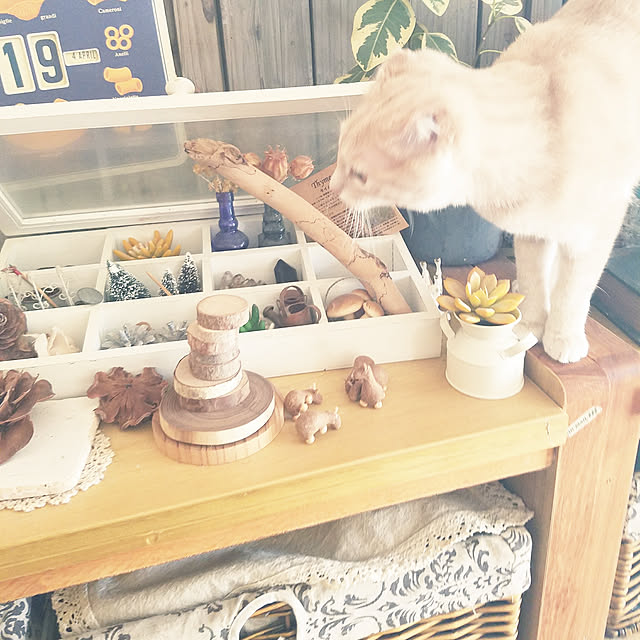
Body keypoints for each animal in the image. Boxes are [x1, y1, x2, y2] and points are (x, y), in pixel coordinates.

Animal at [330, 0, 640, 363]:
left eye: (360, 175)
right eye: (339, 150)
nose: (333, 186)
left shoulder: (593, 233)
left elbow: (573, 290)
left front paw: (562, 337)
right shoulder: (531, 234)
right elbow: (535, 281)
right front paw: (530, 324)